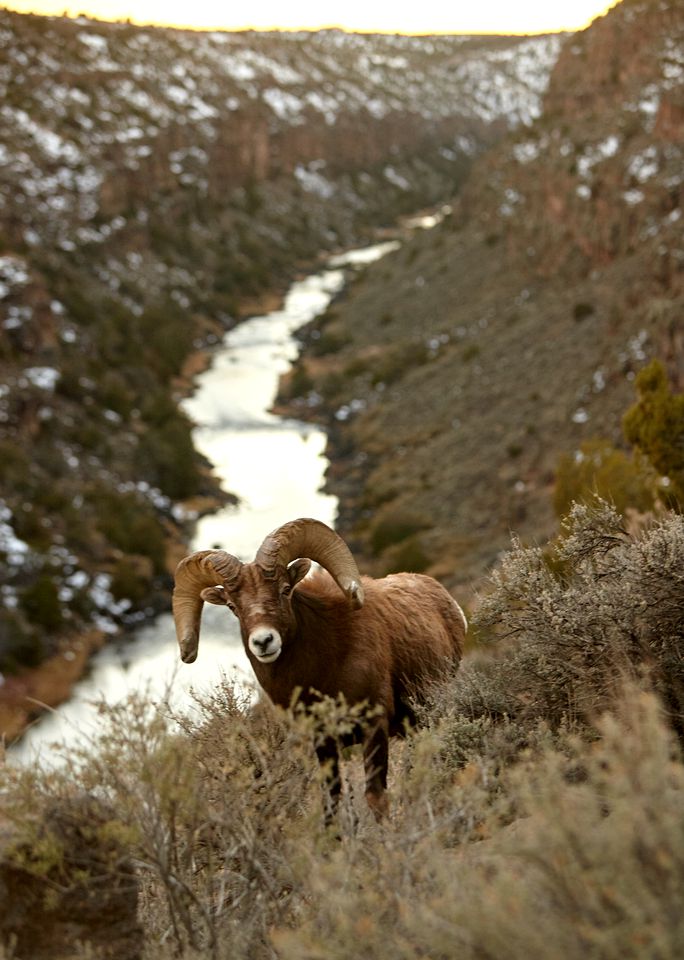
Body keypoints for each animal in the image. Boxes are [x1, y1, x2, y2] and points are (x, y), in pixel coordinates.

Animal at [174, 516, 468, 816]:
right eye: (233, 606)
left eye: (284, 590)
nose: (264, 641)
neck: (322, 675)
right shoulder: (323, 742)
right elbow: (332, 801)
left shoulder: (374, 726)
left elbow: (375, 796)